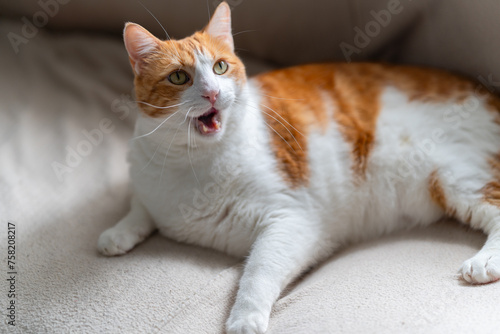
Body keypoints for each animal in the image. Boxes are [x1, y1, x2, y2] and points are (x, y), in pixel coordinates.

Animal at [97, 2, 500, 334]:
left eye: (220, 67)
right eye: (179, 77)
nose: (212, 93)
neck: (193, 164)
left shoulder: (291, 220)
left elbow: (258, 273)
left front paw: (245, 318)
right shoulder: (149, 185)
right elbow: (140, 208)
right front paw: (117, 233)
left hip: (459, 177)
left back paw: (484, 262)